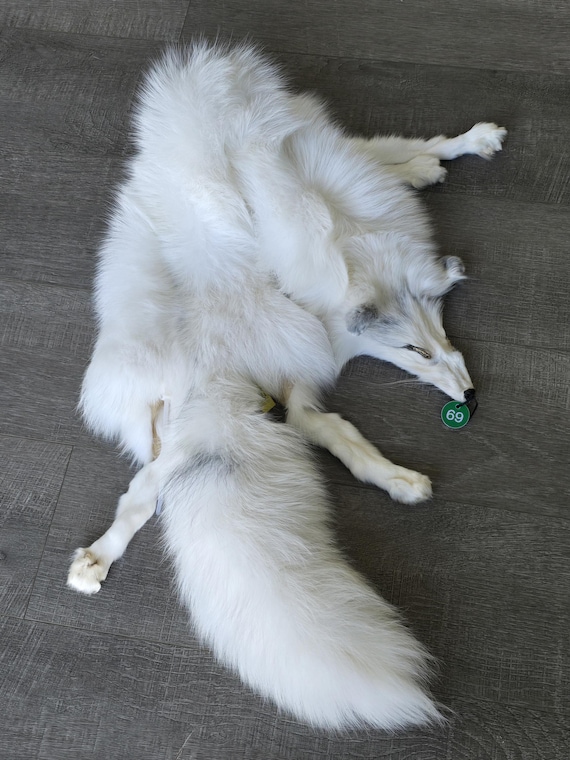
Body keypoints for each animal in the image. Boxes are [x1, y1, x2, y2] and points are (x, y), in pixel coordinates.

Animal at [67, 42, 506, 730]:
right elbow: (384, 153)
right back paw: (97, 559)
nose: (471, 400)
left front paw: (458, 150)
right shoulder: (310, 177)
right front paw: (444, 155)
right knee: (142, 492)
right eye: (413, 351)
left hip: (238, 407)